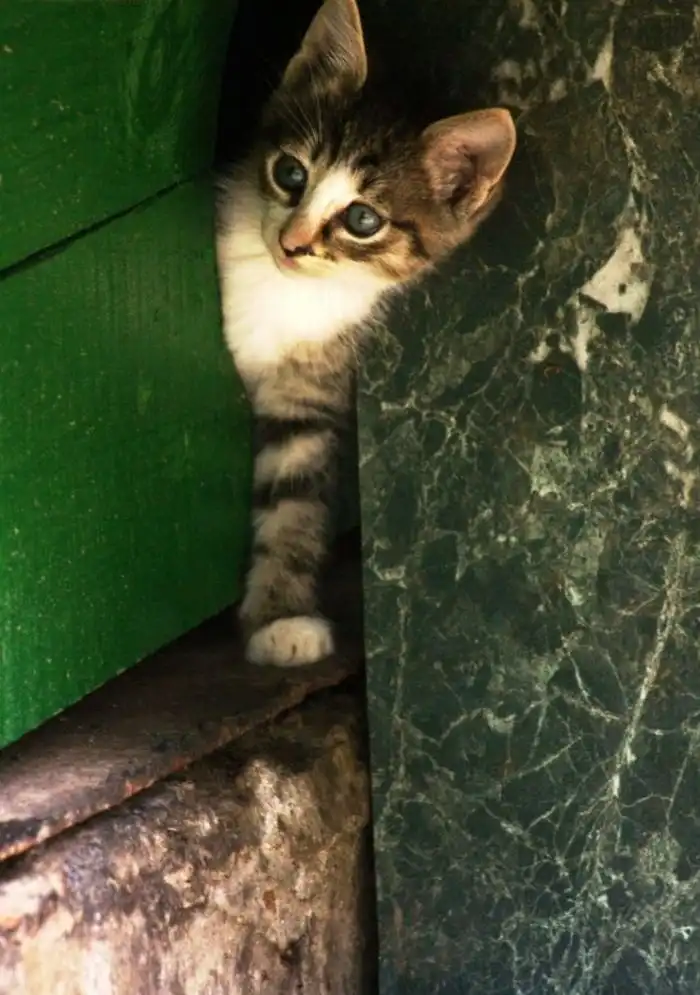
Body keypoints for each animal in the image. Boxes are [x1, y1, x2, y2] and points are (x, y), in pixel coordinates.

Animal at [216, 0, 516, 667]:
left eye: (361, 219)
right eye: (290, 173)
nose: (292, 243)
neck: (279, 291)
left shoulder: (310, 384)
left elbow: (292, 501)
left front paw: (281, 616)